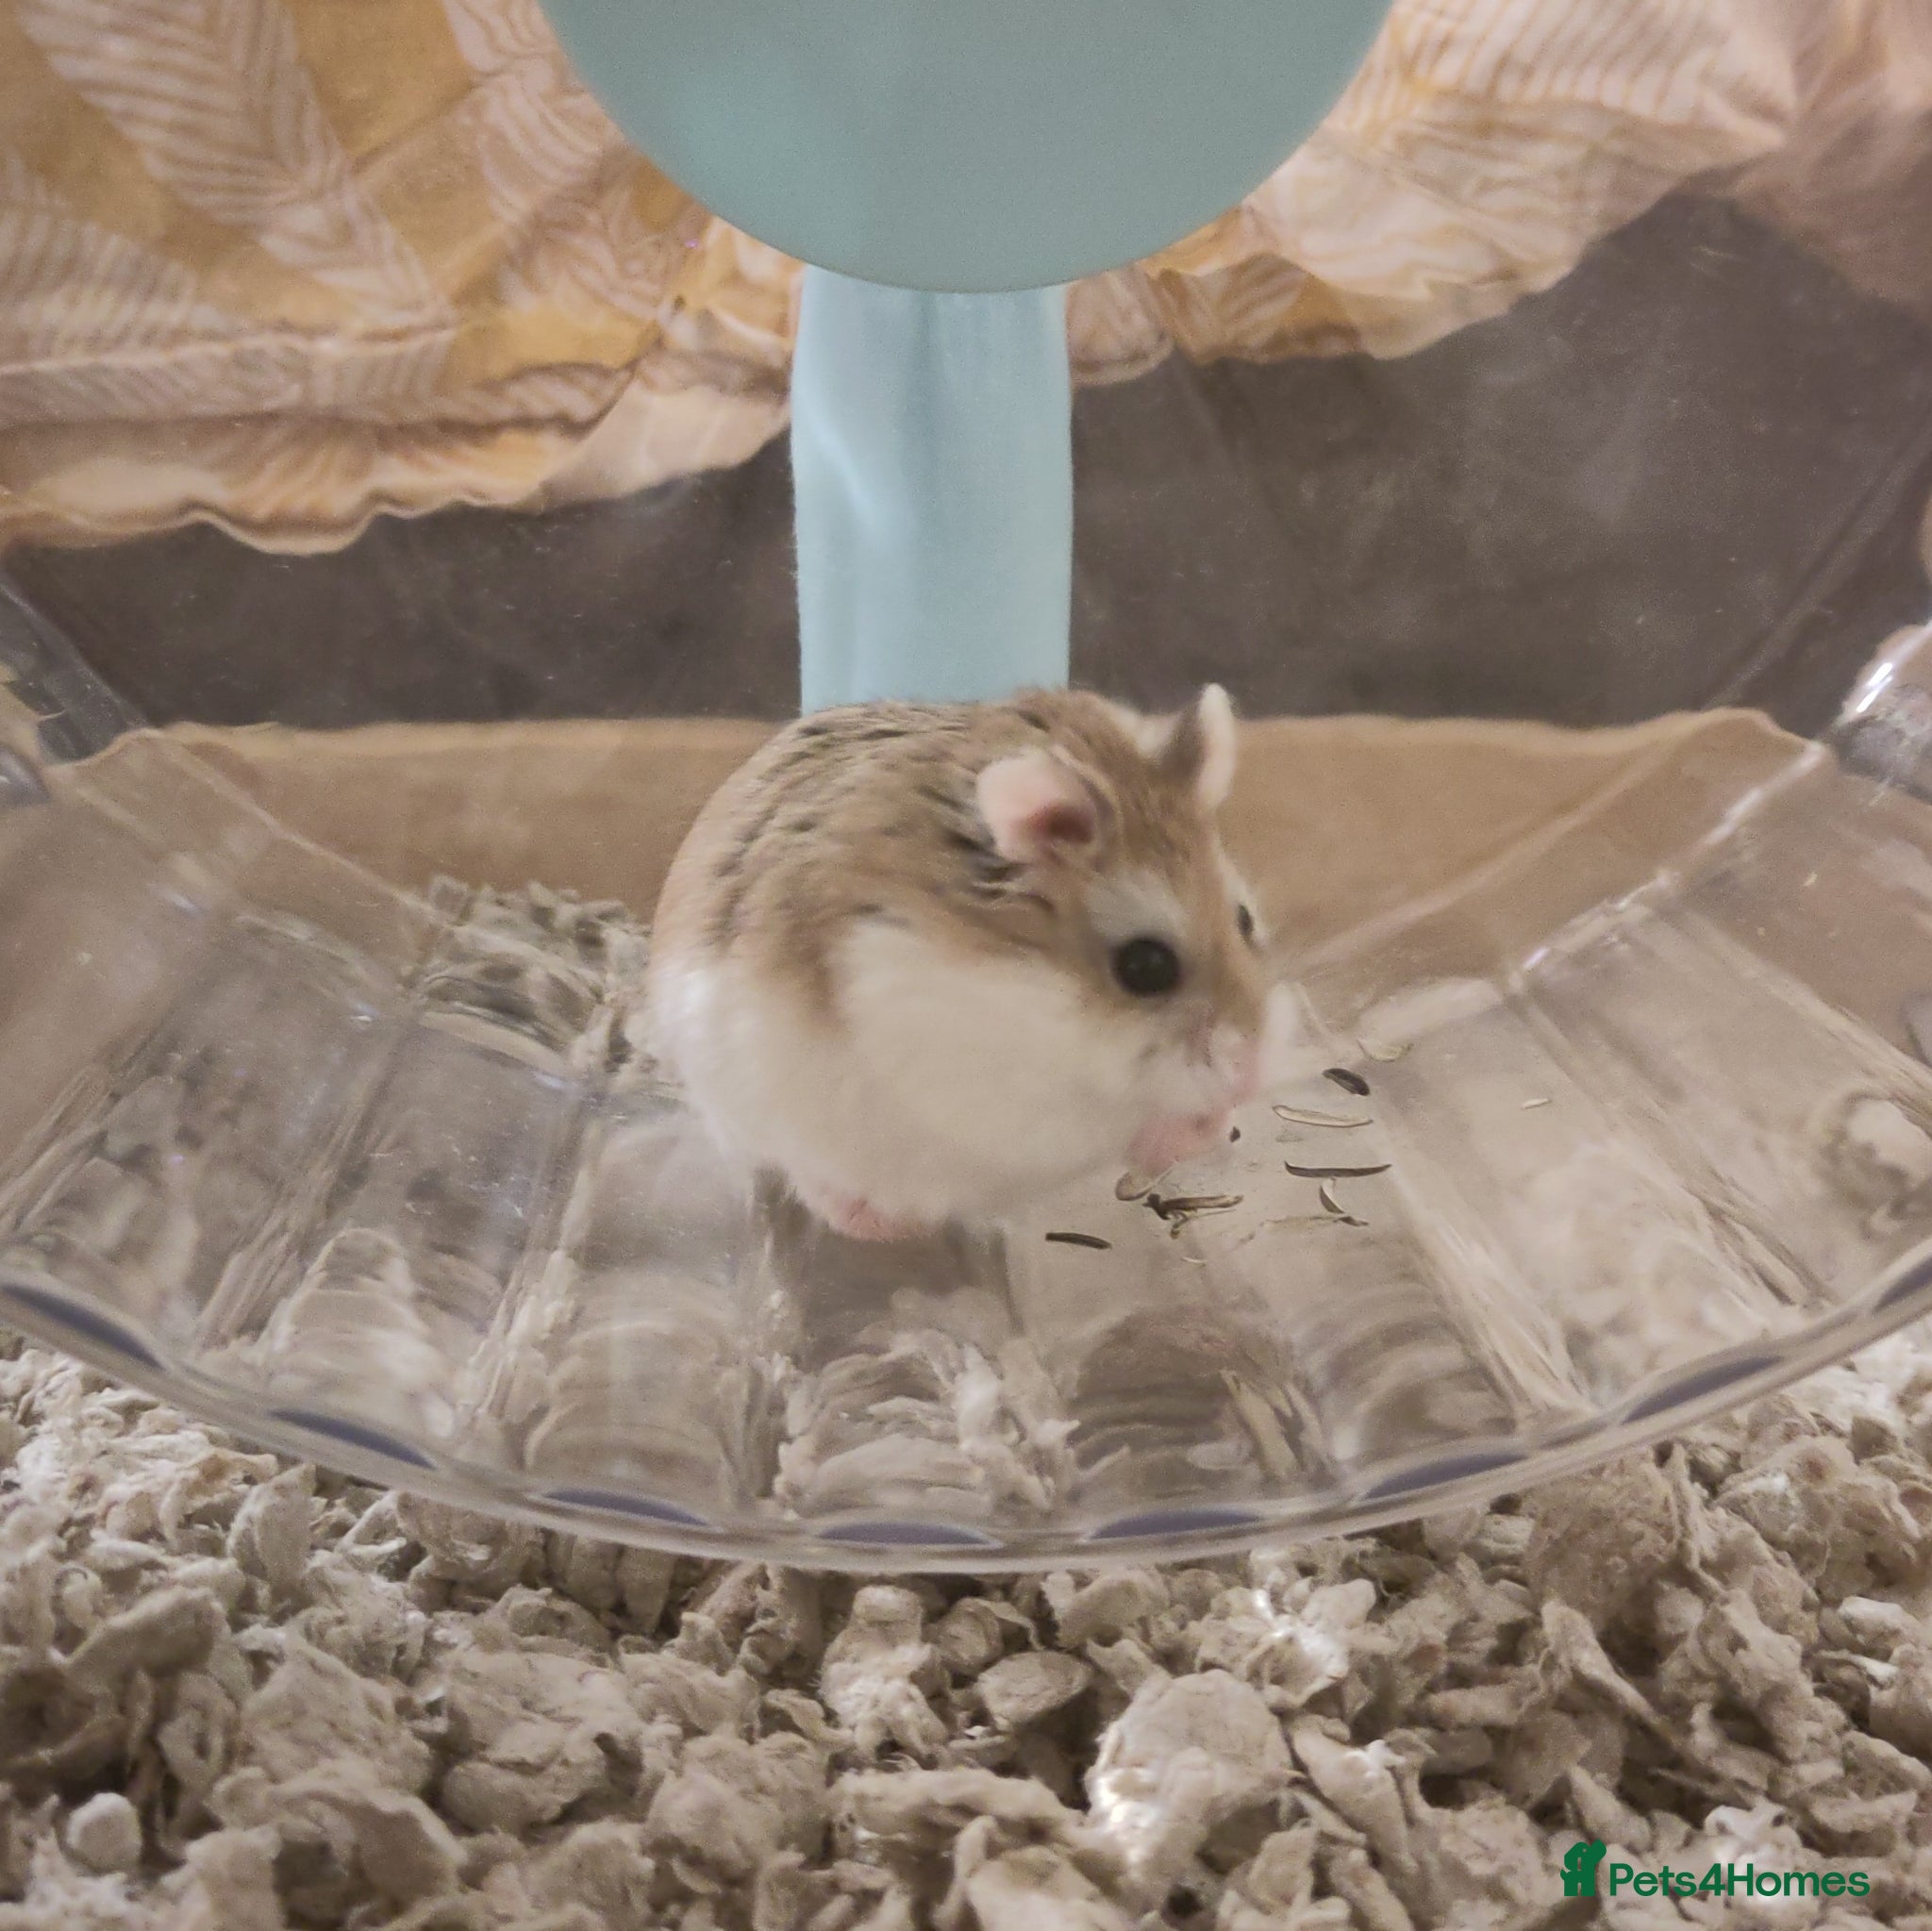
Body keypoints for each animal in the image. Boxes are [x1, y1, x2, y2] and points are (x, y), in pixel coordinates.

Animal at [647, 684, 1295, 1242]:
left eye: (1243, 920)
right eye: (1145, 967)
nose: (1254, 1072)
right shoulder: (984, 1089)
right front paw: (1192, 1127)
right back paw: (880, 1223)